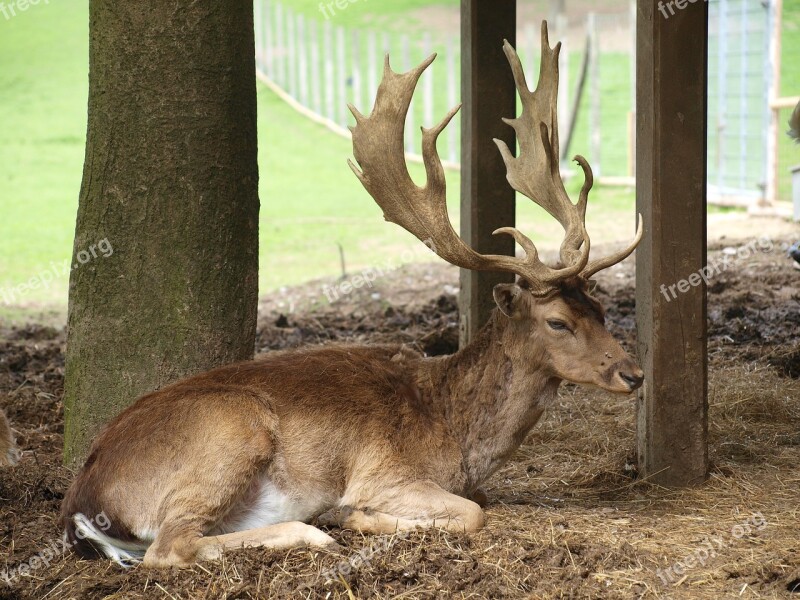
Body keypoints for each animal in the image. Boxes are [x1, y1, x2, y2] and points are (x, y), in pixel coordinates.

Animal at [61, 23, 644, 568]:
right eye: (557, 321)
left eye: (600, 309)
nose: (634, 373)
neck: (454, 432)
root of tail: (82, 503)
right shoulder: (384, 471)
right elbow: (471, 512)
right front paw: (357, 515)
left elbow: (479, 503)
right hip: (229, 430)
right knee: (170, 546)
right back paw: (316, 529)